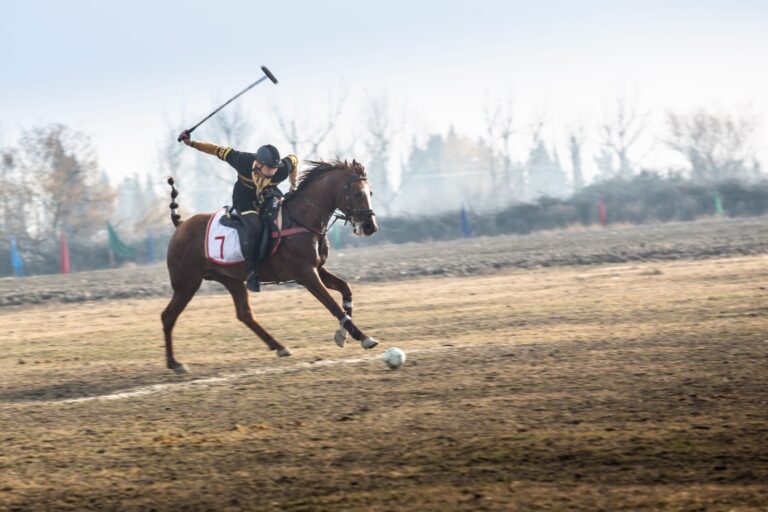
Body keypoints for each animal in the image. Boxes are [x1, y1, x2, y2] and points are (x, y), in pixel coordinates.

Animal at [161, 158, 378, 374]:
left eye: (370, 193)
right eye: (358, 193)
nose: (370, 226)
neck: (301, 218)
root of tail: (181, 225)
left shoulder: (318, 269)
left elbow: (345, 290)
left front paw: (343, 334)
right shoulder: (307, 275)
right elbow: (332, 305)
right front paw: (363, 337)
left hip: (232, 280)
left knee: (245, 314)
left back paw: (279, 346)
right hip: (187, 284)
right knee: (168, 316)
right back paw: (174, 363)